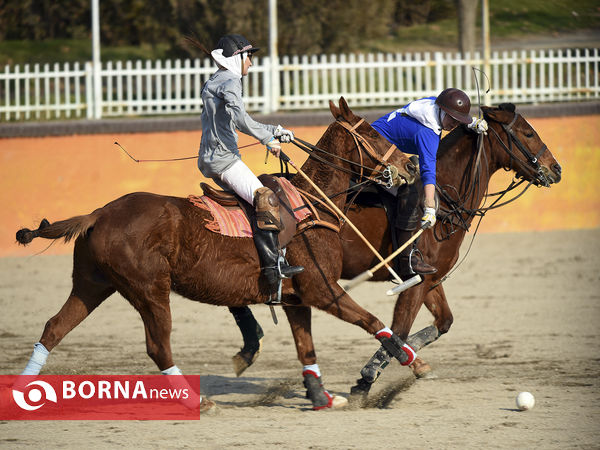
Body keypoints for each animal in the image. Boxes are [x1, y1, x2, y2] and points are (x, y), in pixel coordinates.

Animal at [14, 97, 418, 412]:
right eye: (374, 134)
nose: (412, 164)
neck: (314, 205)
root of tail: (97, 214)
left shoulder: (296, 298)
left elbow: (306, 348)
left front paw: (322, 397)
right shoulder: (322, 289)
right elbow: (369, 319)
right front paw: (409, 358)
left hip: (91, 284)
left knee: (54, 328)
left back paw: (21, 393)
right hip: (149, 290)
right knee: (158, 346)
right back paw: (196, 401)